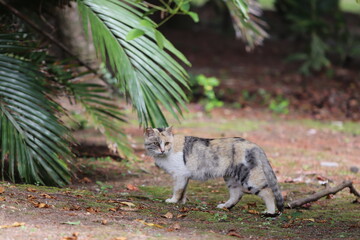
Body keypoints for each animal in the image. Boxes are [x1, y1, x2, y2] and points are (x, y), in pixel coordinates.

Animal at [144, 126, 284, 215]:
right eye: (156, 143)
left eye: (167, 143)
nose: (162, 150)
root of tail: (255, 145)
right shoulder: (184, 177)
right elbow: (183, 191)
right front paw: (181, 203)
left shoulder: (179, 175)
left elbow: (177, 190)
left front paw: (173, 201)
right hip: (231, 178)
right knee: (237, 194)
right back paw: (225, 207)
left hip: (249, 176)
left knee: (268, 192)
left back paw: (270, 212)